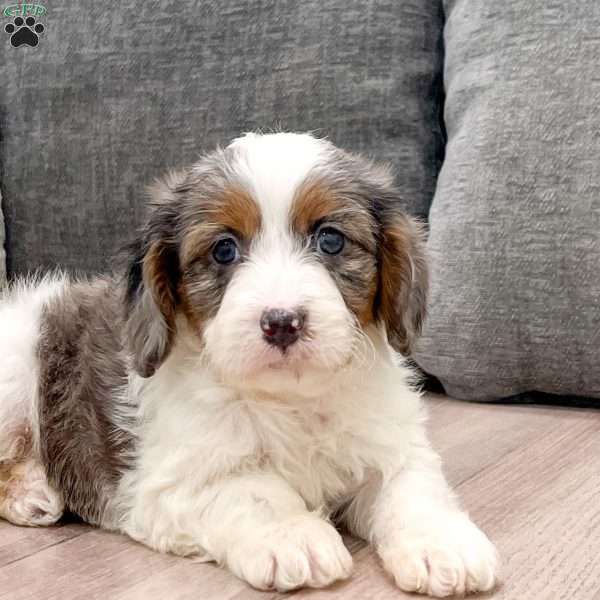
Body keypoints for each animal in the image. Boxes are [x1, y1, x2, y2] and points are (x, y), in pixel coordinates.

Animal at [0, 132, 496, 596]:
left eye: (331, 240)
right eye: (224, 249)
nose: (282, 322)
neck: (290, 400)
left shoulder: (391, 446)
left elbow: (413, 488)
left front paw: (442, 544)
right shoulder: (169, 482)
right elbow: (251, 491)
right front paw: (292, 534)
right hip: (16, 372)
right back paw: (30, 491)